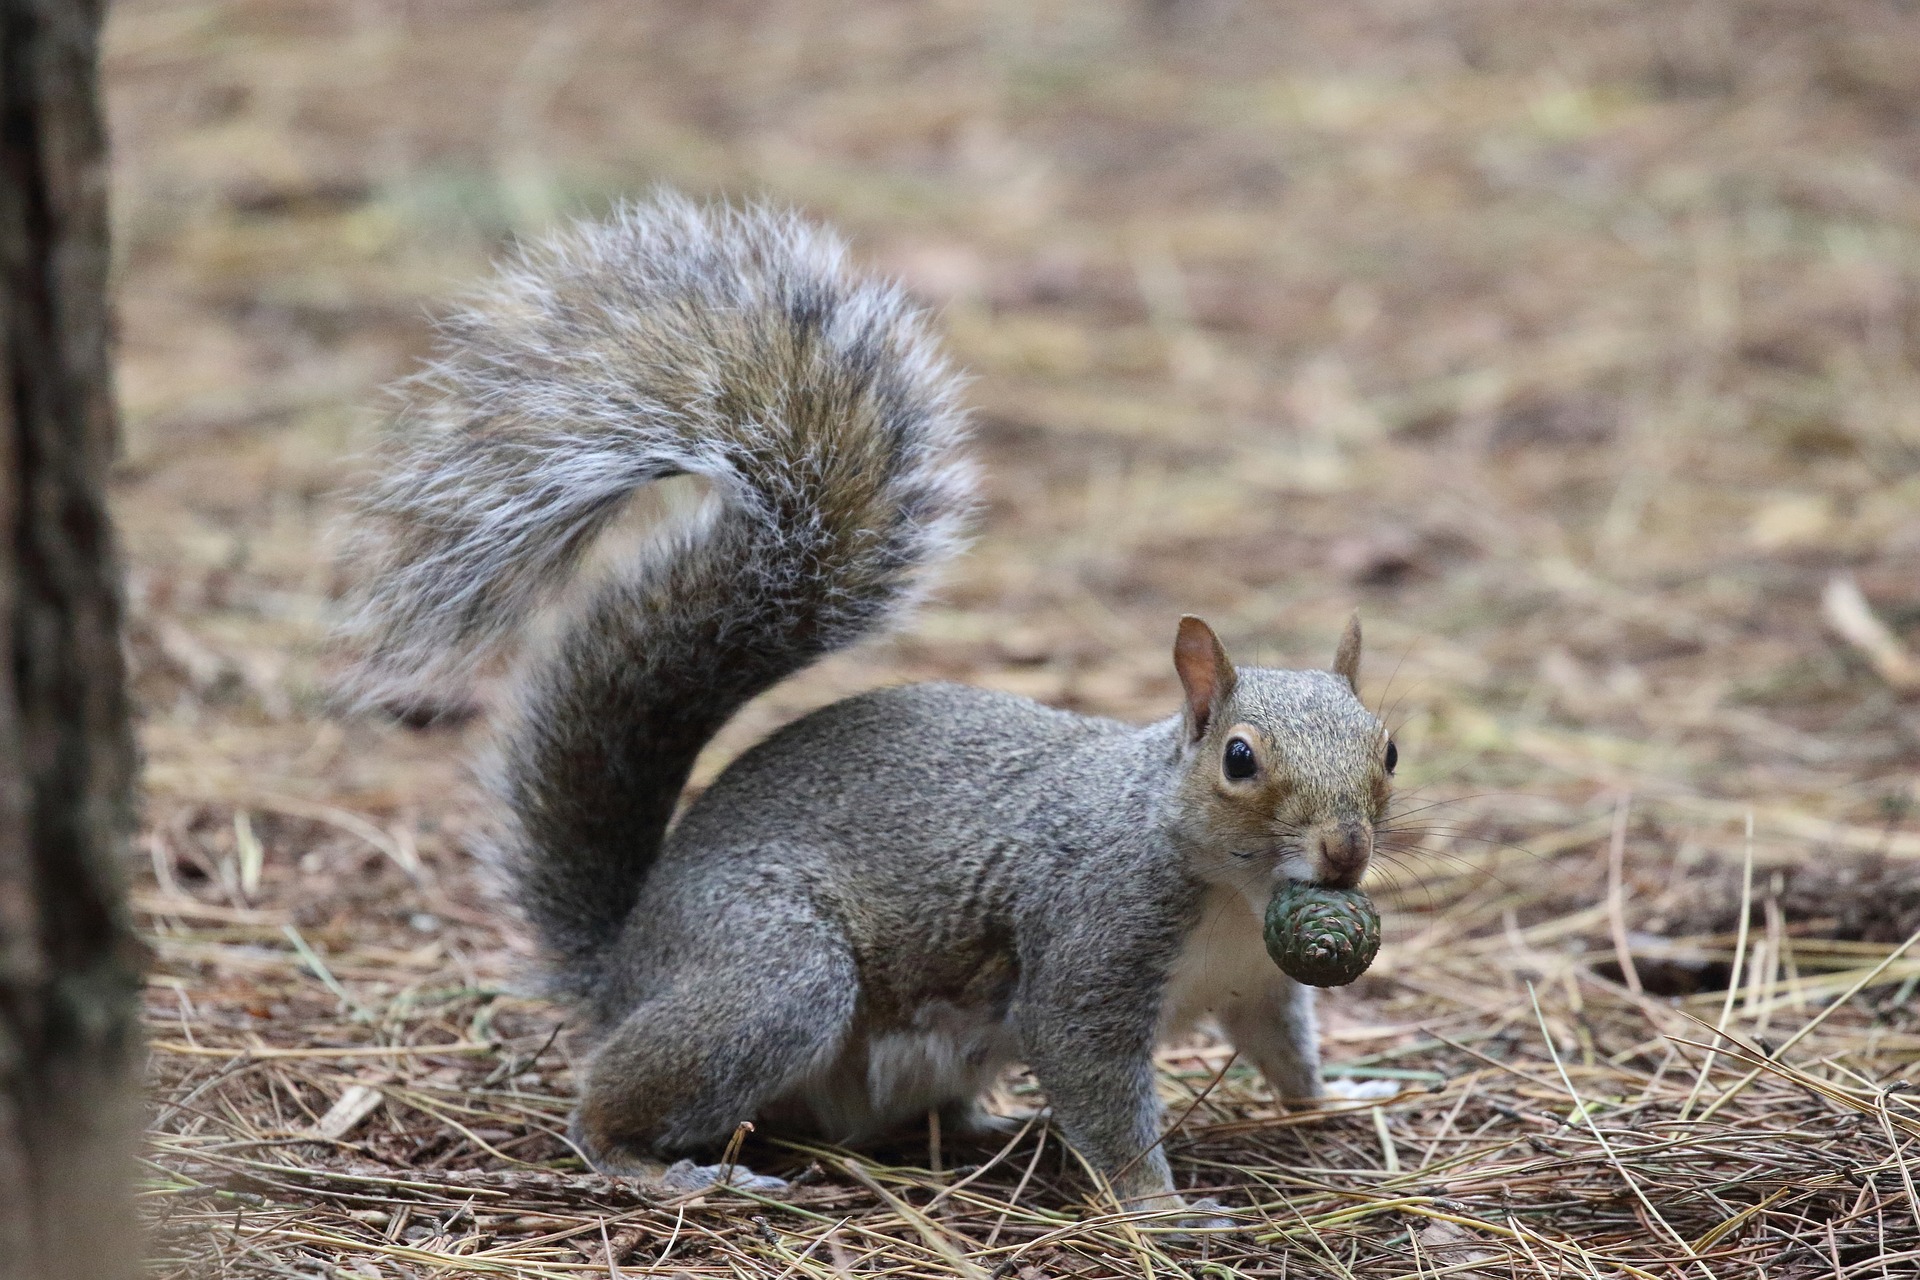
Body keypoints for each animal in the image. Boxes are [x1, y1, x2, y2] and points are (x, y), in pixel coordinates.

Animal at [341, 195, 1397, 1220]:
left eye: (1388, 750)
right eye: (1239, 759)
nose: (1345, 853)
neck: (1230, 891)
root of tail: (628, 962)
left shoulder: (1260, 984)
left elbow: (1286, 1054)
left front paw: (1343, 1095)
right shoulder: (1092, 942)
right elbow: (1094, 1078)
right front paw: (1160, 1208)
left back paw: (989, 1131)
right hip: (774, 974)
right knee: (610, 1096)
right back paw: (666, 1169)